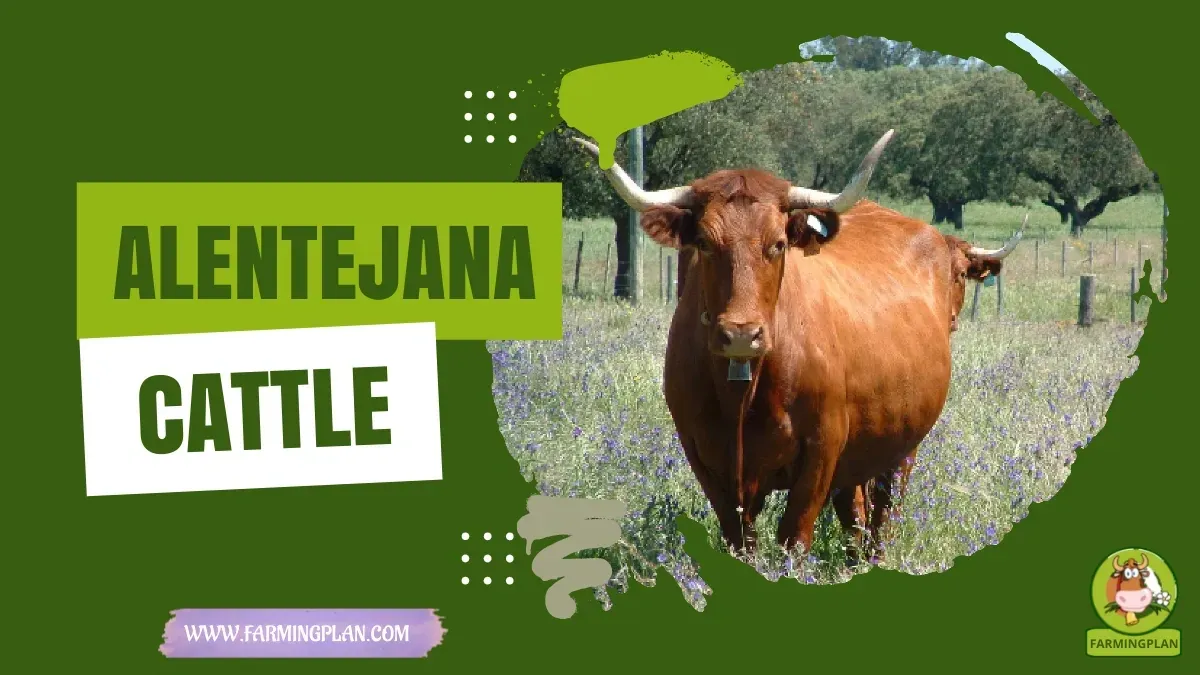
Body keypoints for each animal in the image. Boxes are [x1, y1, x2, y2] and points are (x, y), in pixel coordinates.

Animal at [572, 129, 1023, 564]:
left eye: (777, 243)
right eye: (703, 243)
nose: (741, 334)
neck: (743, 392)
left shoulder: (821, 451)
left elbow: (794, 537)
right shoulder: (704, 455)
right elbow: (740, 540)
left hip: (904, 445)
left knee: (885, 512)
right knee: (855, 512)